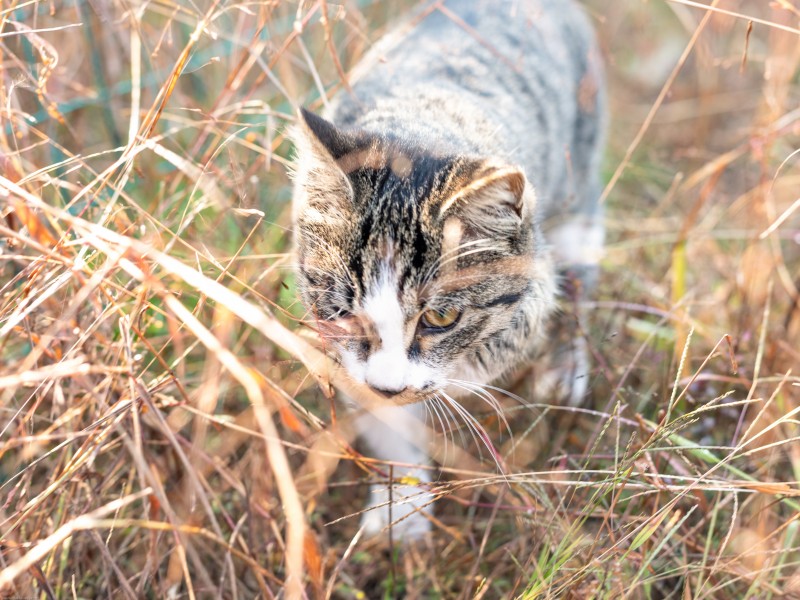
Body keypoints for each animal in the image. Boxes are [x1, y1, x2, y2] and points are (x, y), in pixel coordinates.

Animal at [292, 0, 608, 536]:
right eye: (343, 311)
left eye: (441, 318)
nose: (388, 385)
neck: (421, 119)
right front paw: (401, 509)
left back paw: (566, 368)